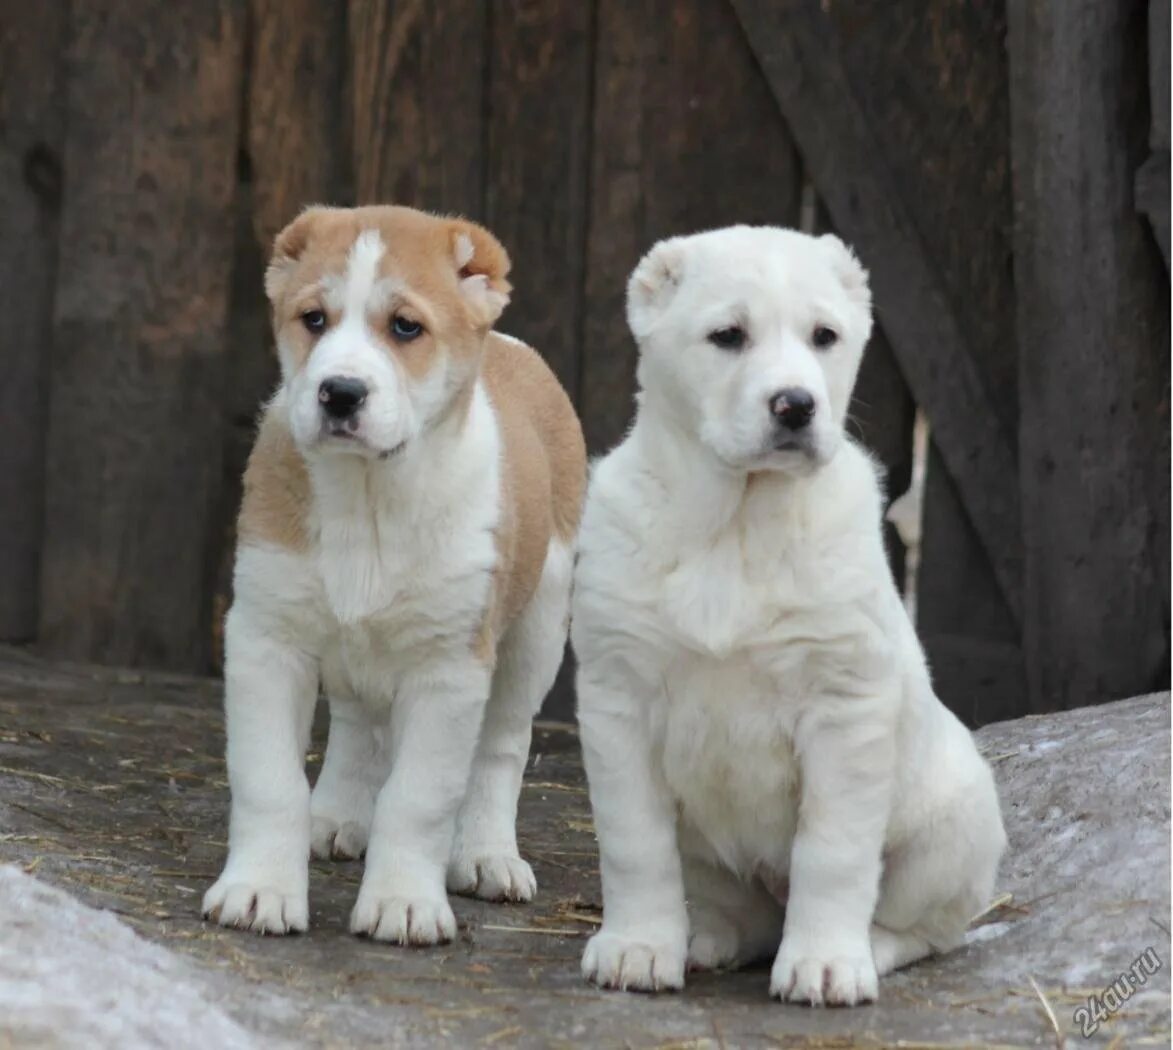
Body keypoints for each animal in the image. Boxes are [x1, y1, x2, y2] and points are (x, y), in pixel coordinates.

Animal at [205, 205, 586, 943]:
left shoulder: (449, 668)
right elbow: (269, 780)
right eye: (313, 319)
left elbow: (419, 797)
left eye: (406, 327)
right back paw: (335, 816)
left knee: (500, 748)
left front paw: (403, 903)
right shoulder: (267, 641)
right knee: (358, 726)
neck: (369, 496)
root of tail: (513, 346)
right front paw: (259, 890)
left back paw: (487, 856)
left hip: (537, 630)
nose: (340, 393)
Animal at [572, 225, 1004, 1004]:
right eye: (727, 336)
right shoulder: (617, 699)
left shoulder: (844, 709)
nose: (796, 404)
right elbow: (633, 843)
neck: (734, 524)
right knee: (735, 912)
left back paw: (866, 947)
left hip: (952, 824)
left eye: (823, 336)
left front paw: (825, 963)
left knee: (925, 928)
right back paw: (703, 939)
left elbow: (831, 853)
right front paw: (637, 947)